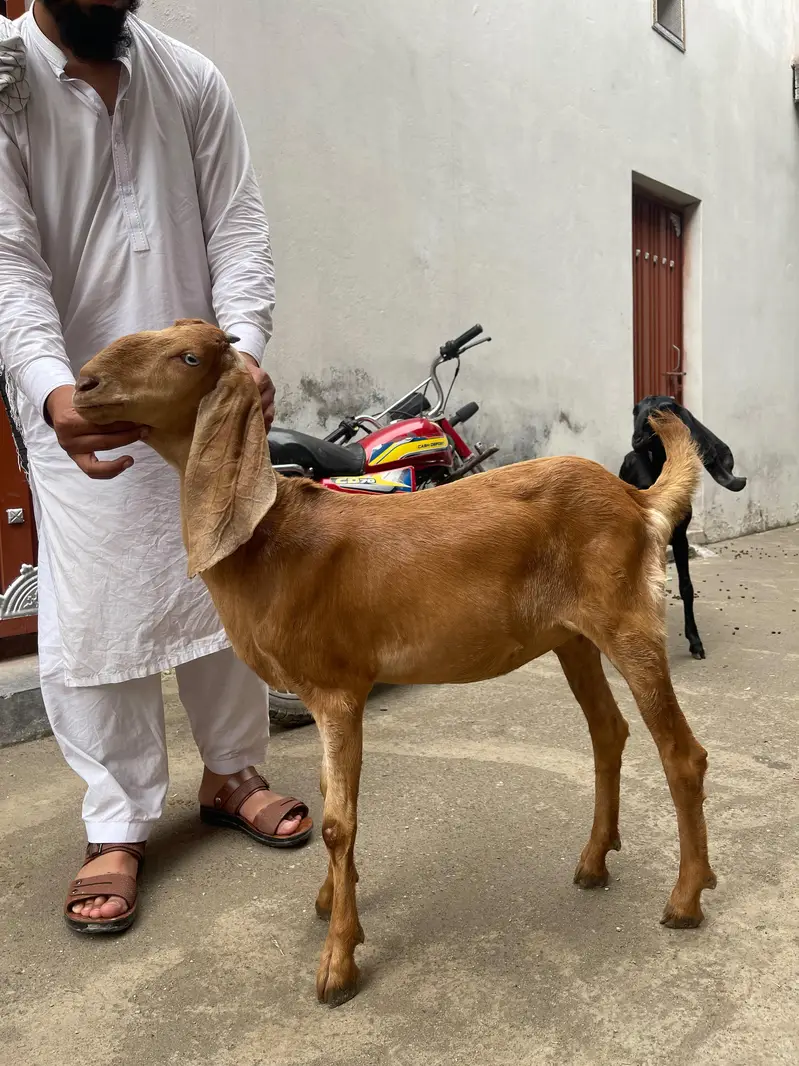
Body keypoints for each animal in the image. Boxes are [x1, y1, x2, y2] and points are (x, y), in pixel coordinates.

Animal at [74, 321, 717, 1007]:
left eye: (189, 356)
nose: (84, 384)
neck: (274, 538)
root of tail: (635, 500)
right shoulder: (331, 695)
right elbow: (332, 798)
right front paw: (331, 903)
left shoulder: (335, 689)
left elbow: (337, 822)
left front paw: (338, 964)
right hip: (572, 637)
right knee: (608, 732)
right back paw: (594, 862)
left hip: (628, 621)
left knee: (681, 752)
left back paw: (685, 899)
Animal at [619, 396, 747, 660]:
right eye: (637, 410)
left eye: (666, 408)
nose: (638, 438)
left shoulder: (680, 537)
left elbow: (686, 587)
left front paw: (695, 642)